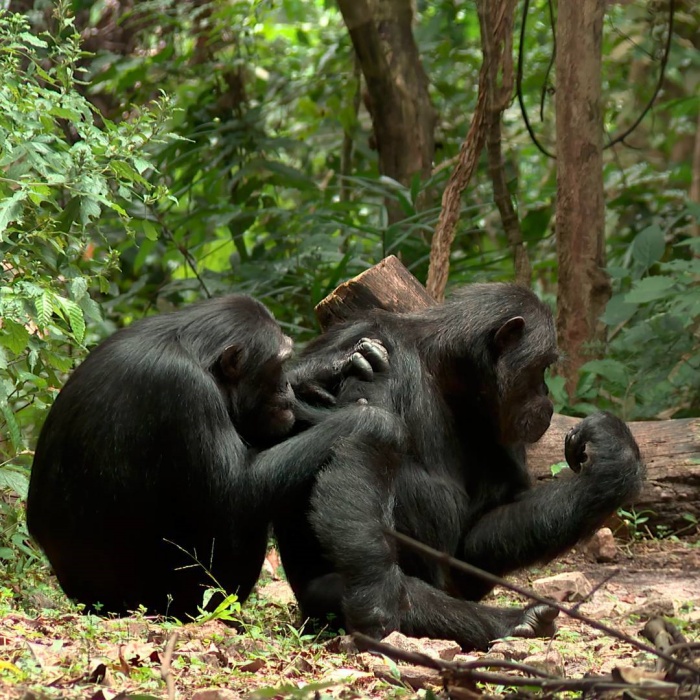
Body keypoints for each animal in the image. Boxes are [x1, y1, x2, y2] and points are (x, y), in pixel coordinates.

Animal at [27, 294, 388, 616]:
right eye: (278, 363)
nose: (286, 385)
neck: (195, 353)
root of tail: (83, 599)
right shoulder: (187, 391)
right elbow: (237, 493)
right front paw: (369, 419)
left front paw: (332, 365)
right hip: (162, 600)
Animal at [274, 284, 644, 652]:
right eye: (542, 366)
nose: (546, 397)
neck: (443, 370)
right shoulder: (376, 357)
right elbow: (361, 442)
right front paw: (375, 606)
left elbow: (476, 538)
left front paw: (614, 459)